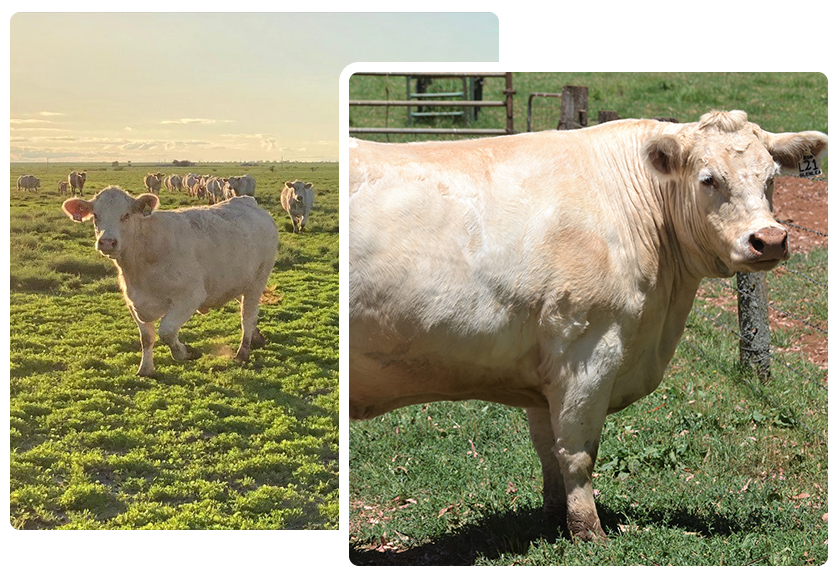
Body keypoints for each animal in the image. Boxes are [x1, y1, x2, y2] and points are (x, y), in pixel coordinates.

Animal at [61, 186, 279, 377]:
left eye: (126, 215)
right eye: (96, 216)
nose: (107, 242)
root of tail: (247, 201)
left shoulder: (189, 297)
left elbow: (167, 331)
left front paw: (186, 352)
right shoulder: (134, 303)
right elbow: (147, 338)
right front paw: (146, 369)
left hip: (257, 280)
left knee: (247, 316)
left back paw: (243, 352)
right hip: (236, 280)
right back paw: (257, 338)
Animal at [348, 110, 828, 542]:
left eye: (770, 178)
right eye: (708, 179)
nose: (769, 239)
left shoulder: (543, 373)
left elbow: (549, 450)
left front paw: (553, 519)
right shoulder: (588, 349)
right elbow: (578, 452)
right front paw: (588, 531)